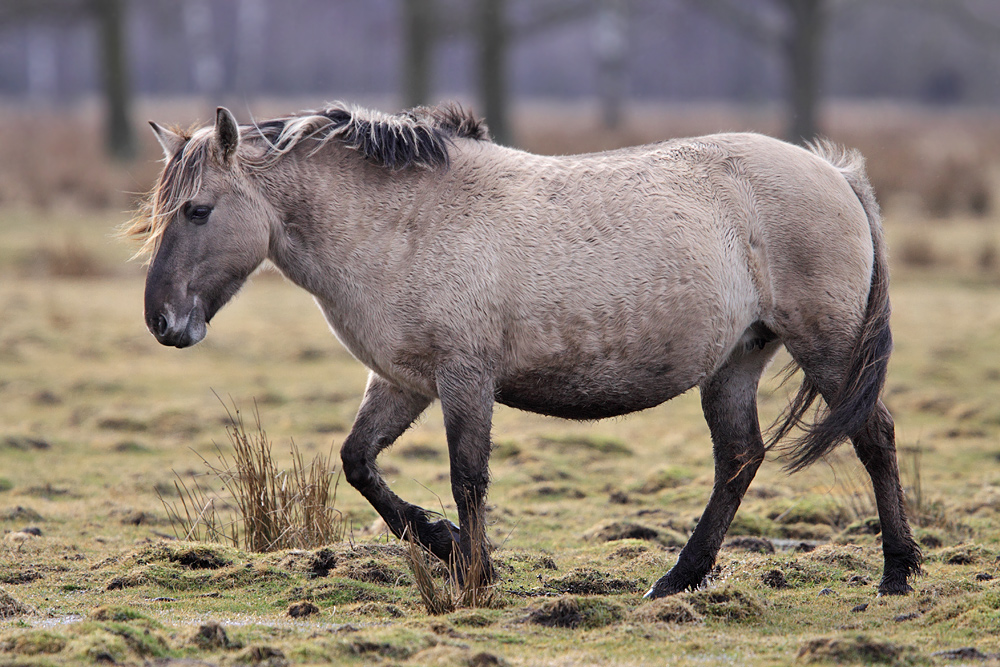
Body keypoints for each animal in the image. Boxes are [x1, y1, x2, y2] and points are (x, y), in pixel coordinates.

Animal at [127, 102, 920, 596]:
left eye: (198, 211)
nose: (164, 321)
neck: (405, 224)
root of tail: (836, 173)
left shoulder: (464, 380)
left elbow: (468, 477)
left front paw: (473, 573)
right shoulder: (402, 382)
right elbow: (359, 463)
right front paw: (446, 544)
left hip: (827, 346)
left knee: (872, 436)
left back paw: (897, 572)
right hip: (736, 361)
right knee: (740, 458)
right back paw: (677, 579)